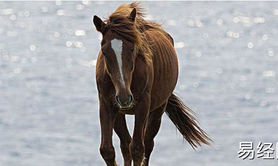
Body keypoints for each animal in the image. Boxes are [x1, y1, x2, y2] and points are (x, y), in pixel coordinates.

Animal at [93, 2, 211, 166]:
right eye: (104, 51)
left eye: (132, 48)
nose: (124, 98)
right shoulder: (106, 104)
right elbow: (107, 150)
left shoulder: (143, 104)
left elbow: (137, 149)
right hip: (120, 112)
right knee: (125, 144)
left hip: (157, 109)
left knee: (147, 144)